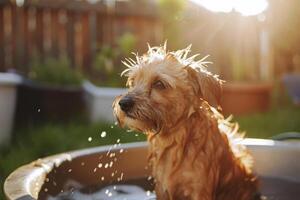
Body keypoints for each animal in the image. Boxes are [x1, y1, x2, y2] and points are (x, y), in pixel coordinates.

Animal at [113, 45, 258, 200]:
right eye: (133, 82)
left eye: (159, 84)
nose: (124, 103)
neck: (175, 140)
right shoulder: (161, 188)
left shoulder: (199, 191)